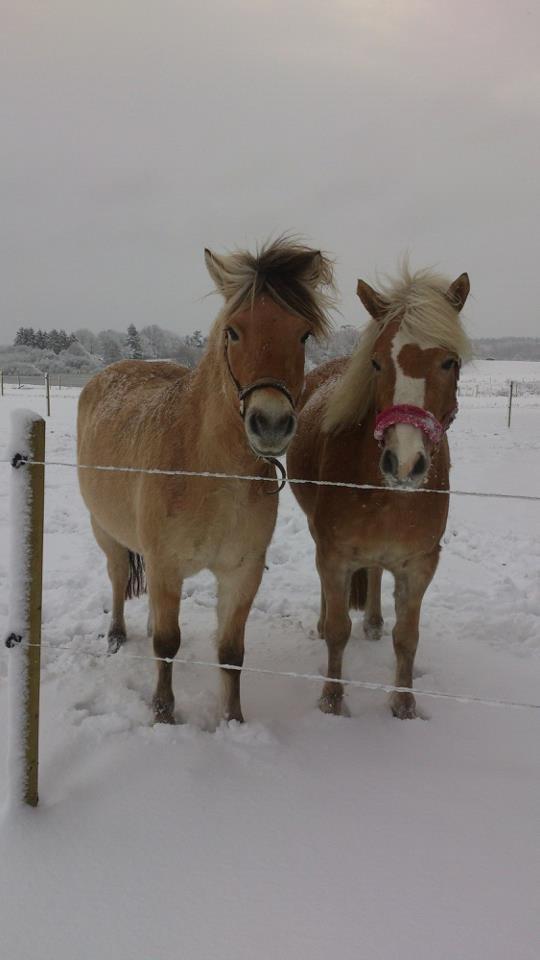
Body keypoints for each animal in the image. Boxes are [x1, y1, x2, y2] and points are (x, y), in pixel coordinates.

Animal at [78, 238, 336, 720]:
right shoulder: (166, 565)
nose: (271, 424)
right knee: (118, 576)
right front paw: (163, 712)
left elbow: (231, 653)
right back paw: (117, 634)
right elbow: (167, 644)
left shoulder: (241, 572)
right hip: (105, 530)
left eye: (303, 334)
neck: (210, 470)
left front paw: (232, 719)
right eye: (233, 332)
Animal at [288, 266, 470, 716]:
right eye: (376, 362)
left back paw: (372, 621)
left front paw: (403, 705)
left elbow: (407, 638)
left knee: (373, 572)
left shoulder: (420, 564)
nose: (403, 463)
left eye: (450, 362)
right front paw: (332, 701)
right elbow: (339, 630)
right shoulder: (334, 555)